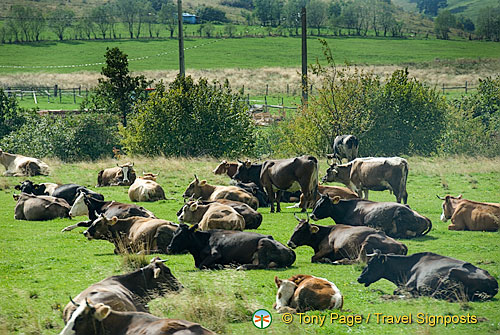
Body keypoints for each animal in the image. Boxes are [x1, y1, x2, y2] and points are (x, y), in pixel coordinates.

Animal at [166, 224, 294, 272]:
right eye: (174, 233)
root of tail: (291, 251)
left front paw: (218, 266)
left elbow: (202, 265)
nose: (169, 247)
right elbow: (199, 265)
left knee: (262, 265)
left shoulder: (216, 253)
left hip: (263, 242)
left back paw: (241, 266)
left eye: (181, 235)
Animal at [358, 249, 498, 302]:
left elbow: (396, 290)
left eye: (370, 263)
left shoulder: (409, 285)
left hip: (450, 274)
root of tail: (493, 283)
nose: (359, 278)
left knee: (433, 295)